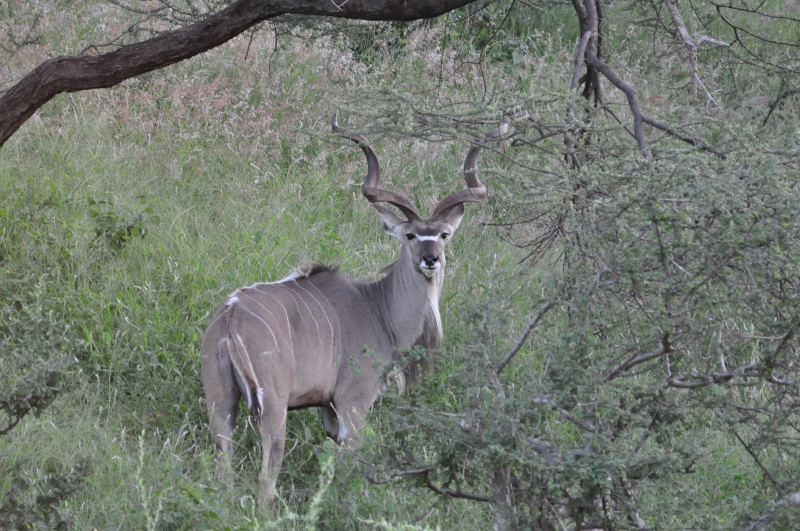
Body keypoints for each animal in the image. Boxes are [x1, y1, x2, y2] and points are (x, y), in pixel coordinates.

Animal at [200, 114, 505, 503]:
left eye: (443, 235)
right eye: (410, 235)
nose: (430, 259)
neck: (378, 308)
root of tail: (231, 319)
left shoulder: (328, 410)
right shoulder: (353, 404)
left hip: (221, 402)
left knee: (221, 470)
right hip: (273, 408)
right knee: (265, 483)